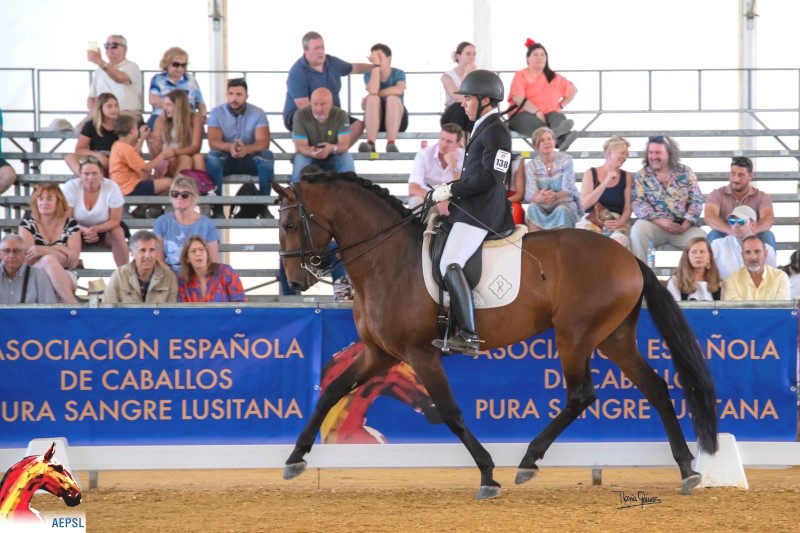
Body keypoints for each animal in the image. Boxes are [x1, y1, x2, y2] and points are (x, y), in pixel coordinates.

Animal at [272, 174, 716, 498]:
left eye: (291, 224)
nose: (297, 279)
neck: (387, 260)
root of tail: (629, 257)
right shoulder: (379, 353)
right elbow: (331, 393)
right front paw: (295, 458)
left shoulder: (420, 355)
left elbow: (451, 413)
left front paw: (487, 474)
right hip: (613, 338)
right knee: (656, 388)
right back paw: (687, 469)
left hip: (575, 336)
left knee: (581, 396)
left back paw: (528, 461)